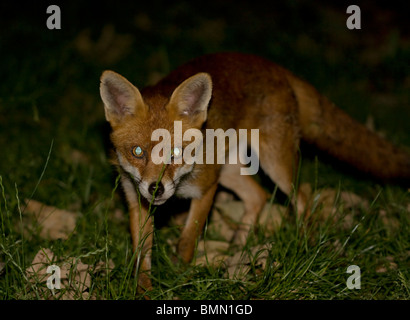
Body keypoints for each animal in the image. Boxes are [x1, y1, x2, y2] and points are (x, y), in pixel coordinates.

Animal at [99, 51, 410, 292]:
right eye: (137, 152)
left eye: (176, 153)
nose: (157, 189)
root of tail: (270, 64)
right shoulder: (137, 201)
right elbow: (142, 256)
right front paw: (144, 290)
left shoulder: (206, 188)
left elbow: (187, 240)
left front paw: (179, 276)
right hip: (229, 169)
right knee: (258, 196)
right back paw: (239, 246)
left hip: (274, 164)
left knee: (302, 195)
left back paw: (305, 243)